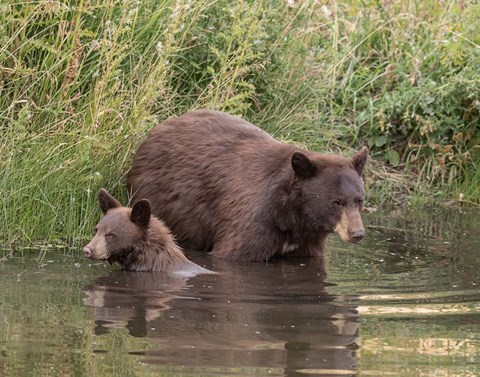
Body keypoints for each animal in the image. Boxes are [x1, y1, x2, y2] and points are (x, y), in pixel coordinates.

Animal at [126, 110, 368, 260]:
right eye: (336, 202)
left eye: (359, 200)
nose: (357, 233)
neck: (292, 215)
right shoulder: (252, 223)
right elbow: (235, 251)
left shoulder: (308, 241)